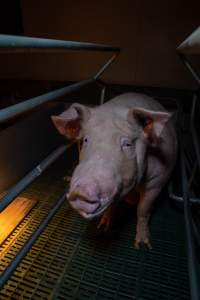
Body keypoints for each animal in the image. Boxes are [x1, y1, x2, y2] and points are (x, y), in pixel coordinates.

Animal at [51, 92, 177, 247]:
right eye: (86, 140)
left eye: (127, 144)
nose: (82, 191)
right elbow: (112, 206)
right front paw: (102, 228)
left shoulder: (158, 180)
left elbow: (143, 210)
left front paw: (142, 245)